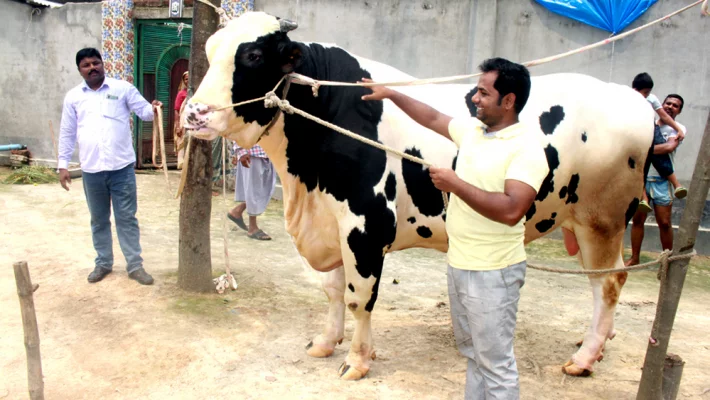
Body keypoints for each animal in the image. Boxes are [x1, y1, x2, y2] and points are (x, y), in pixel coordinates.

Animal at [184, 11, 656, 382]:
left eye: (253, 55)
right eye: (209, 49)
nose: (194, 113)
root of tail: (628, 97)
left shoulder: (366, 225)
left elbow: (358, 296)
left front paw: (357, 360)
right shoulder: (330, 223)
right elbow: (333, 291)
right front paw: (325, 342)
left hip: (602, 221)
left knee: (609, 283)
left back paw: (585, 358)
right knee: (601, 287)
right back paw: (597, 344)